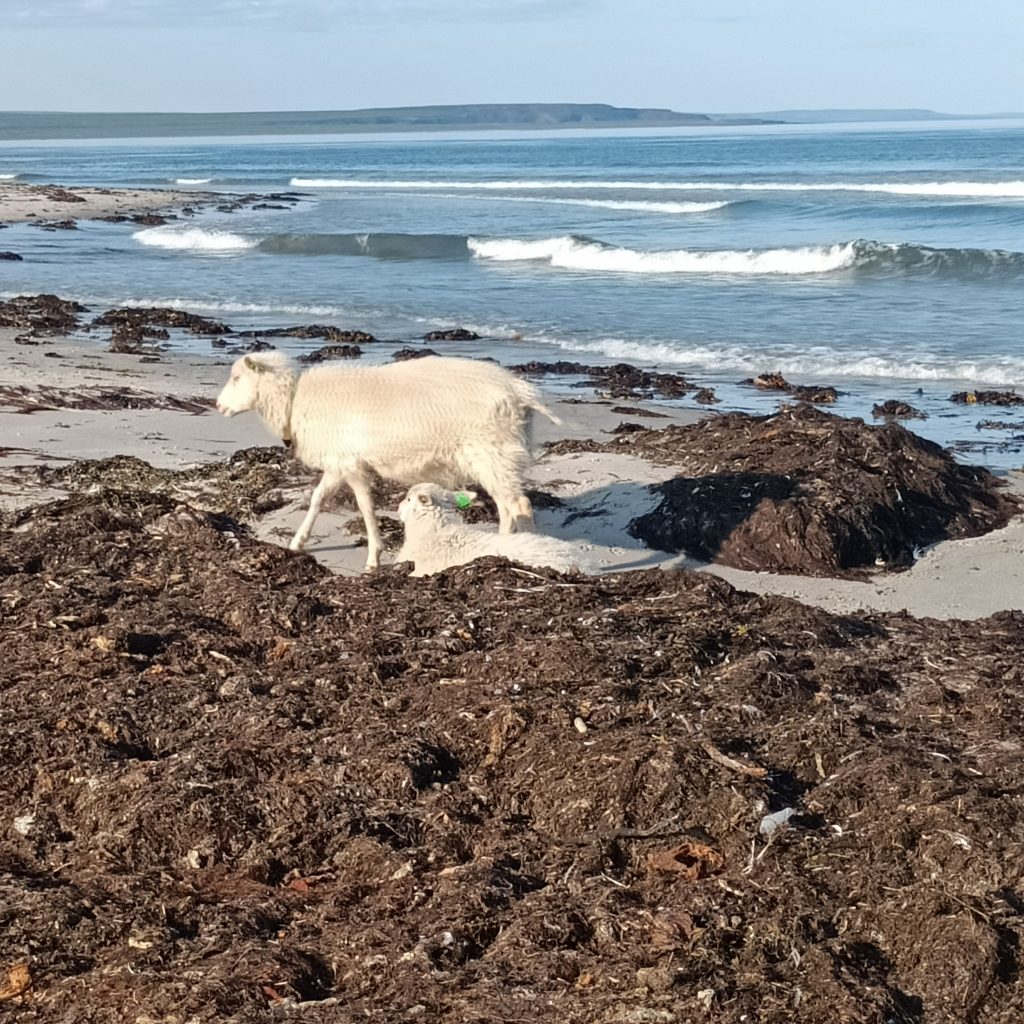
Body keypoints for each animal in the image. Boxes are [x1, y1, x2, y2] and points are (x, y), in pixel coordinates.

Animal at [215, 351, 561, 569]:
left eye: (236, 378)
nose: (218, 406)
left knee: (519, 506)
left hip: (493, 452)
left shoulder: (351, 464)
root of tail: (520, 391)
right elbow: (318, 499)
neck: (295, 400)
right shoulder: (339, 461)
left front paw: (373, 559)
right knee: (507, 506)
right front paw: (298, 542)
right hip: (497, 459)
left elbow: (365, 508)